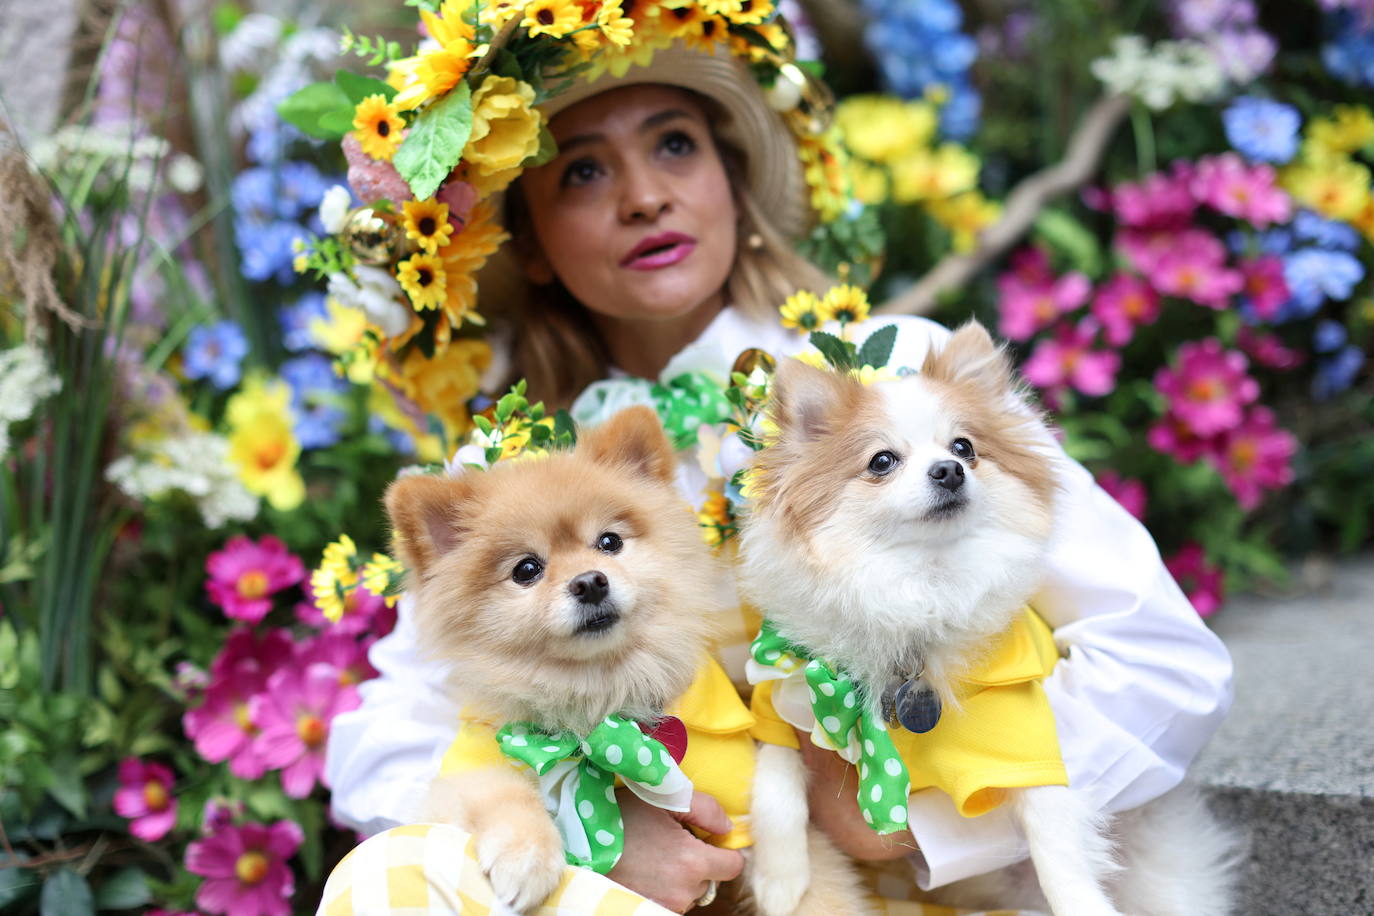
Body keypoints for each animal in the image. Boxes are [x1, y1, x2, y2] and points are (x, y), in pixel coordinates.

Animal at [381, 409, 736, 916]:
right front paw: (526, 857)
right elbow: (498, 789)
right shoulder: (461, 776)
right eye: (527, 570)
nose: (590, 582)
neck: (598, 701)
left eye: (609, 541)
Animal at [736, 322, 1242, 916]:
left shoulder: (1024, 741)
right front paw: (781, 877)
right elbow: (773, 782)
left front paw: (1080, 902)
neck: (920, 586)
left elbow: (1057, 844)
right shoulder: (782, 701)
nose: (949, 470)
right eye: (882, 461)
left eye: (965, 447)